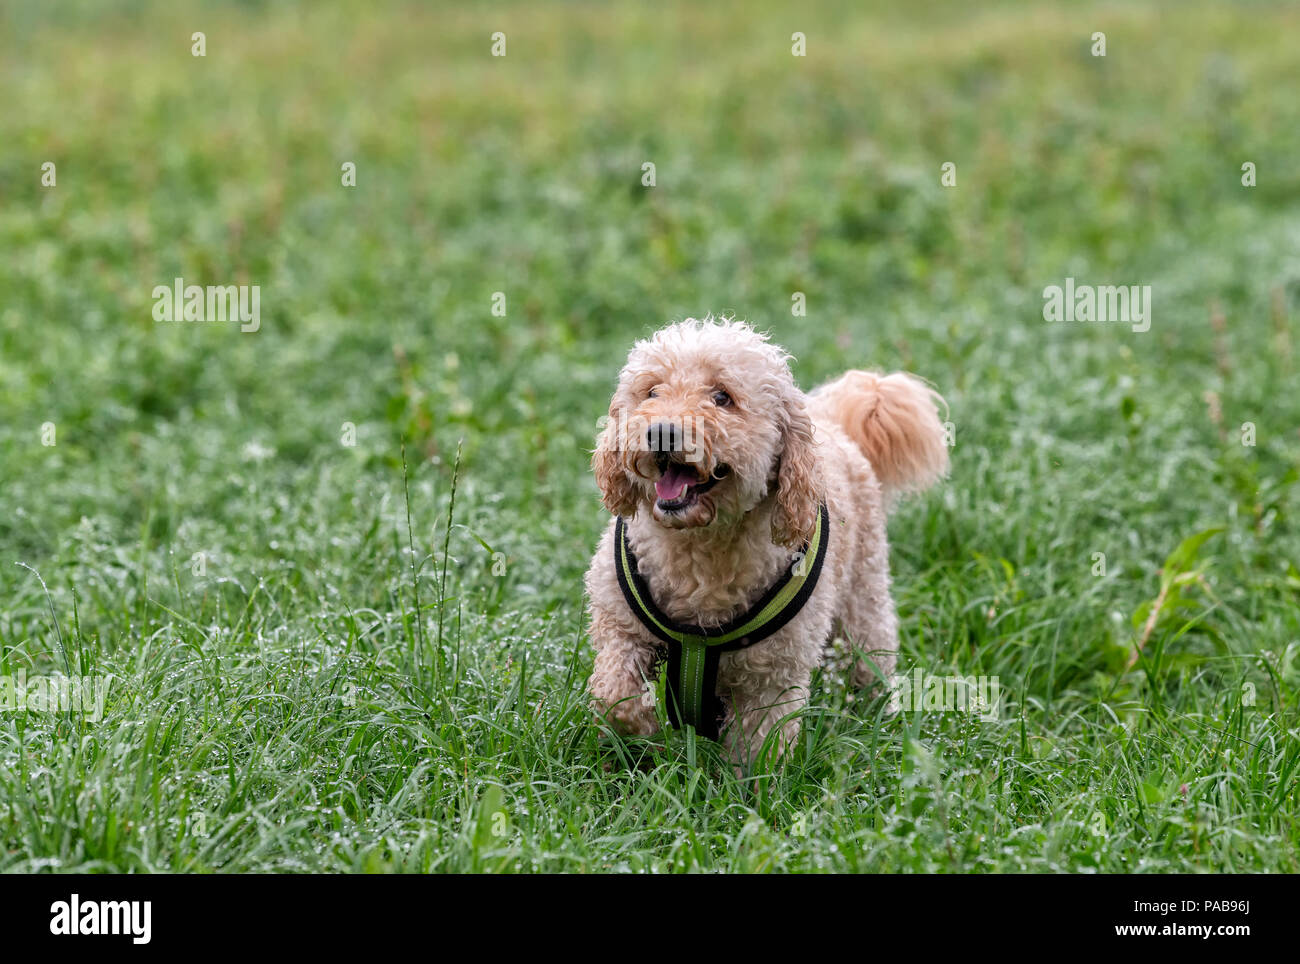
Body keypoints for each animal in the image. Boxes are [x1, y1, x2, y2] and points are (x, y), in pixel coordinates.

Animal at [585, 320, 951, 763]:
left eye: (722, 397)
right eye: (652, 391)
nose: (661, 432)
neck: (700, 548)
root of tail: (836, 424)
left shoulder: (773, 677)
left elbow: (760, 750)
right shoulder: (619, 625)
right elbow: (615, 695)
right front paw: (640, 735)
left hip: (864, 607)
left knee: (868, 666)